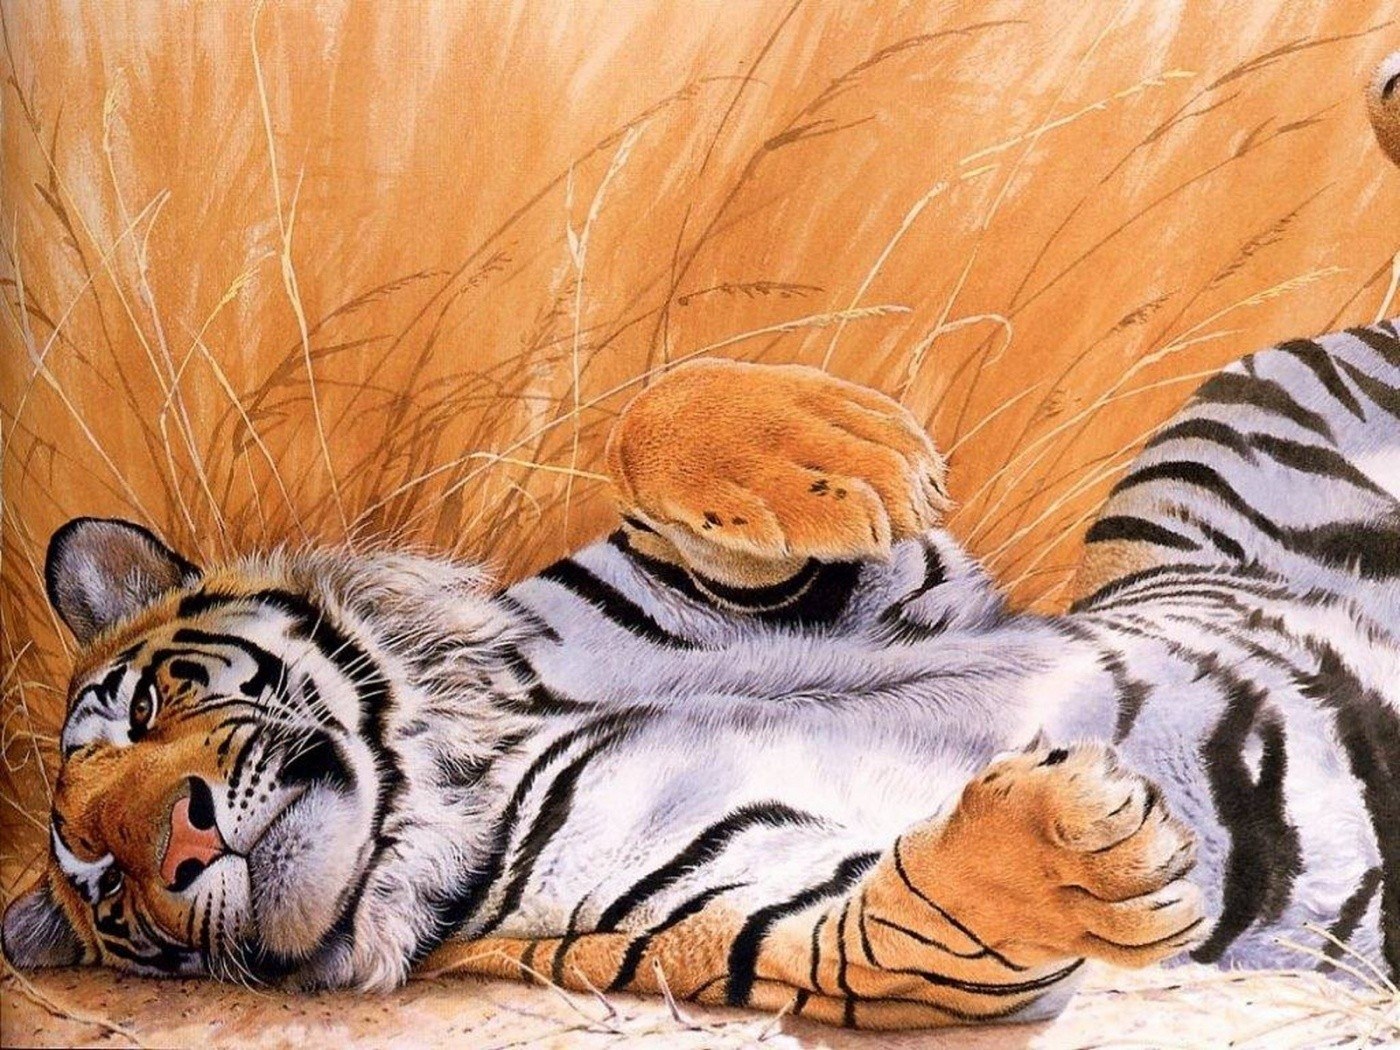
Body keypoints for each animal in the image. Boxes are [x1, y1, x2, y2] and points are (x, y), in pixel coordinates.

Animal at [2, 54, 1398, 1033]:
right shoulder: (756, 906)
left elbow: (658, 419)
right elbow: (910, 918)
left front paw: (834, 452)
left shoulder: (829, 589)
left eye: (147, 706)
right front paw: (1070, 838)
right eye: (104, 882)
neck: (451, 776)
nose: (177, 844)